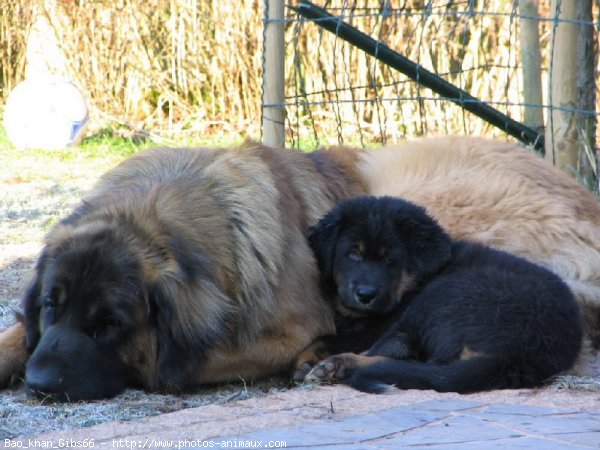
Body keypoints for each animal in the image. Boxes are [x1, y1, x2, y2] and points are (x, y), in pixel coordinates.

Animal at [304, 195, 580, 392]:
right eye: (353, 254)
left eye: (390, 260)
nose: (365, 295)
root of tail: (516, 354)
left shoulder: (379, 326)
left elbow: (328, 338)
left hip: (443, 294)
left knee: (401, 355)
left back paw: (339, 364)